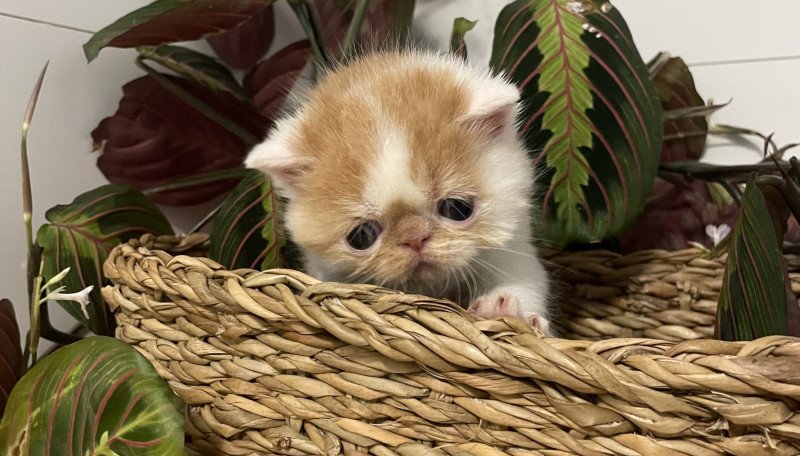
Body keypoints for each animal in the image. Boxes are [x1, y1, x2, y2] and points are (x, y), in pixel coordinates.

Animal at [247, 50, 552, 334]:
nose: (414, 238)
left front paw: (504, 309)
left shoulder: (514, 247)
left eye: (457, 209)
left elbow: (524, 280)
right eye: (361, 237)